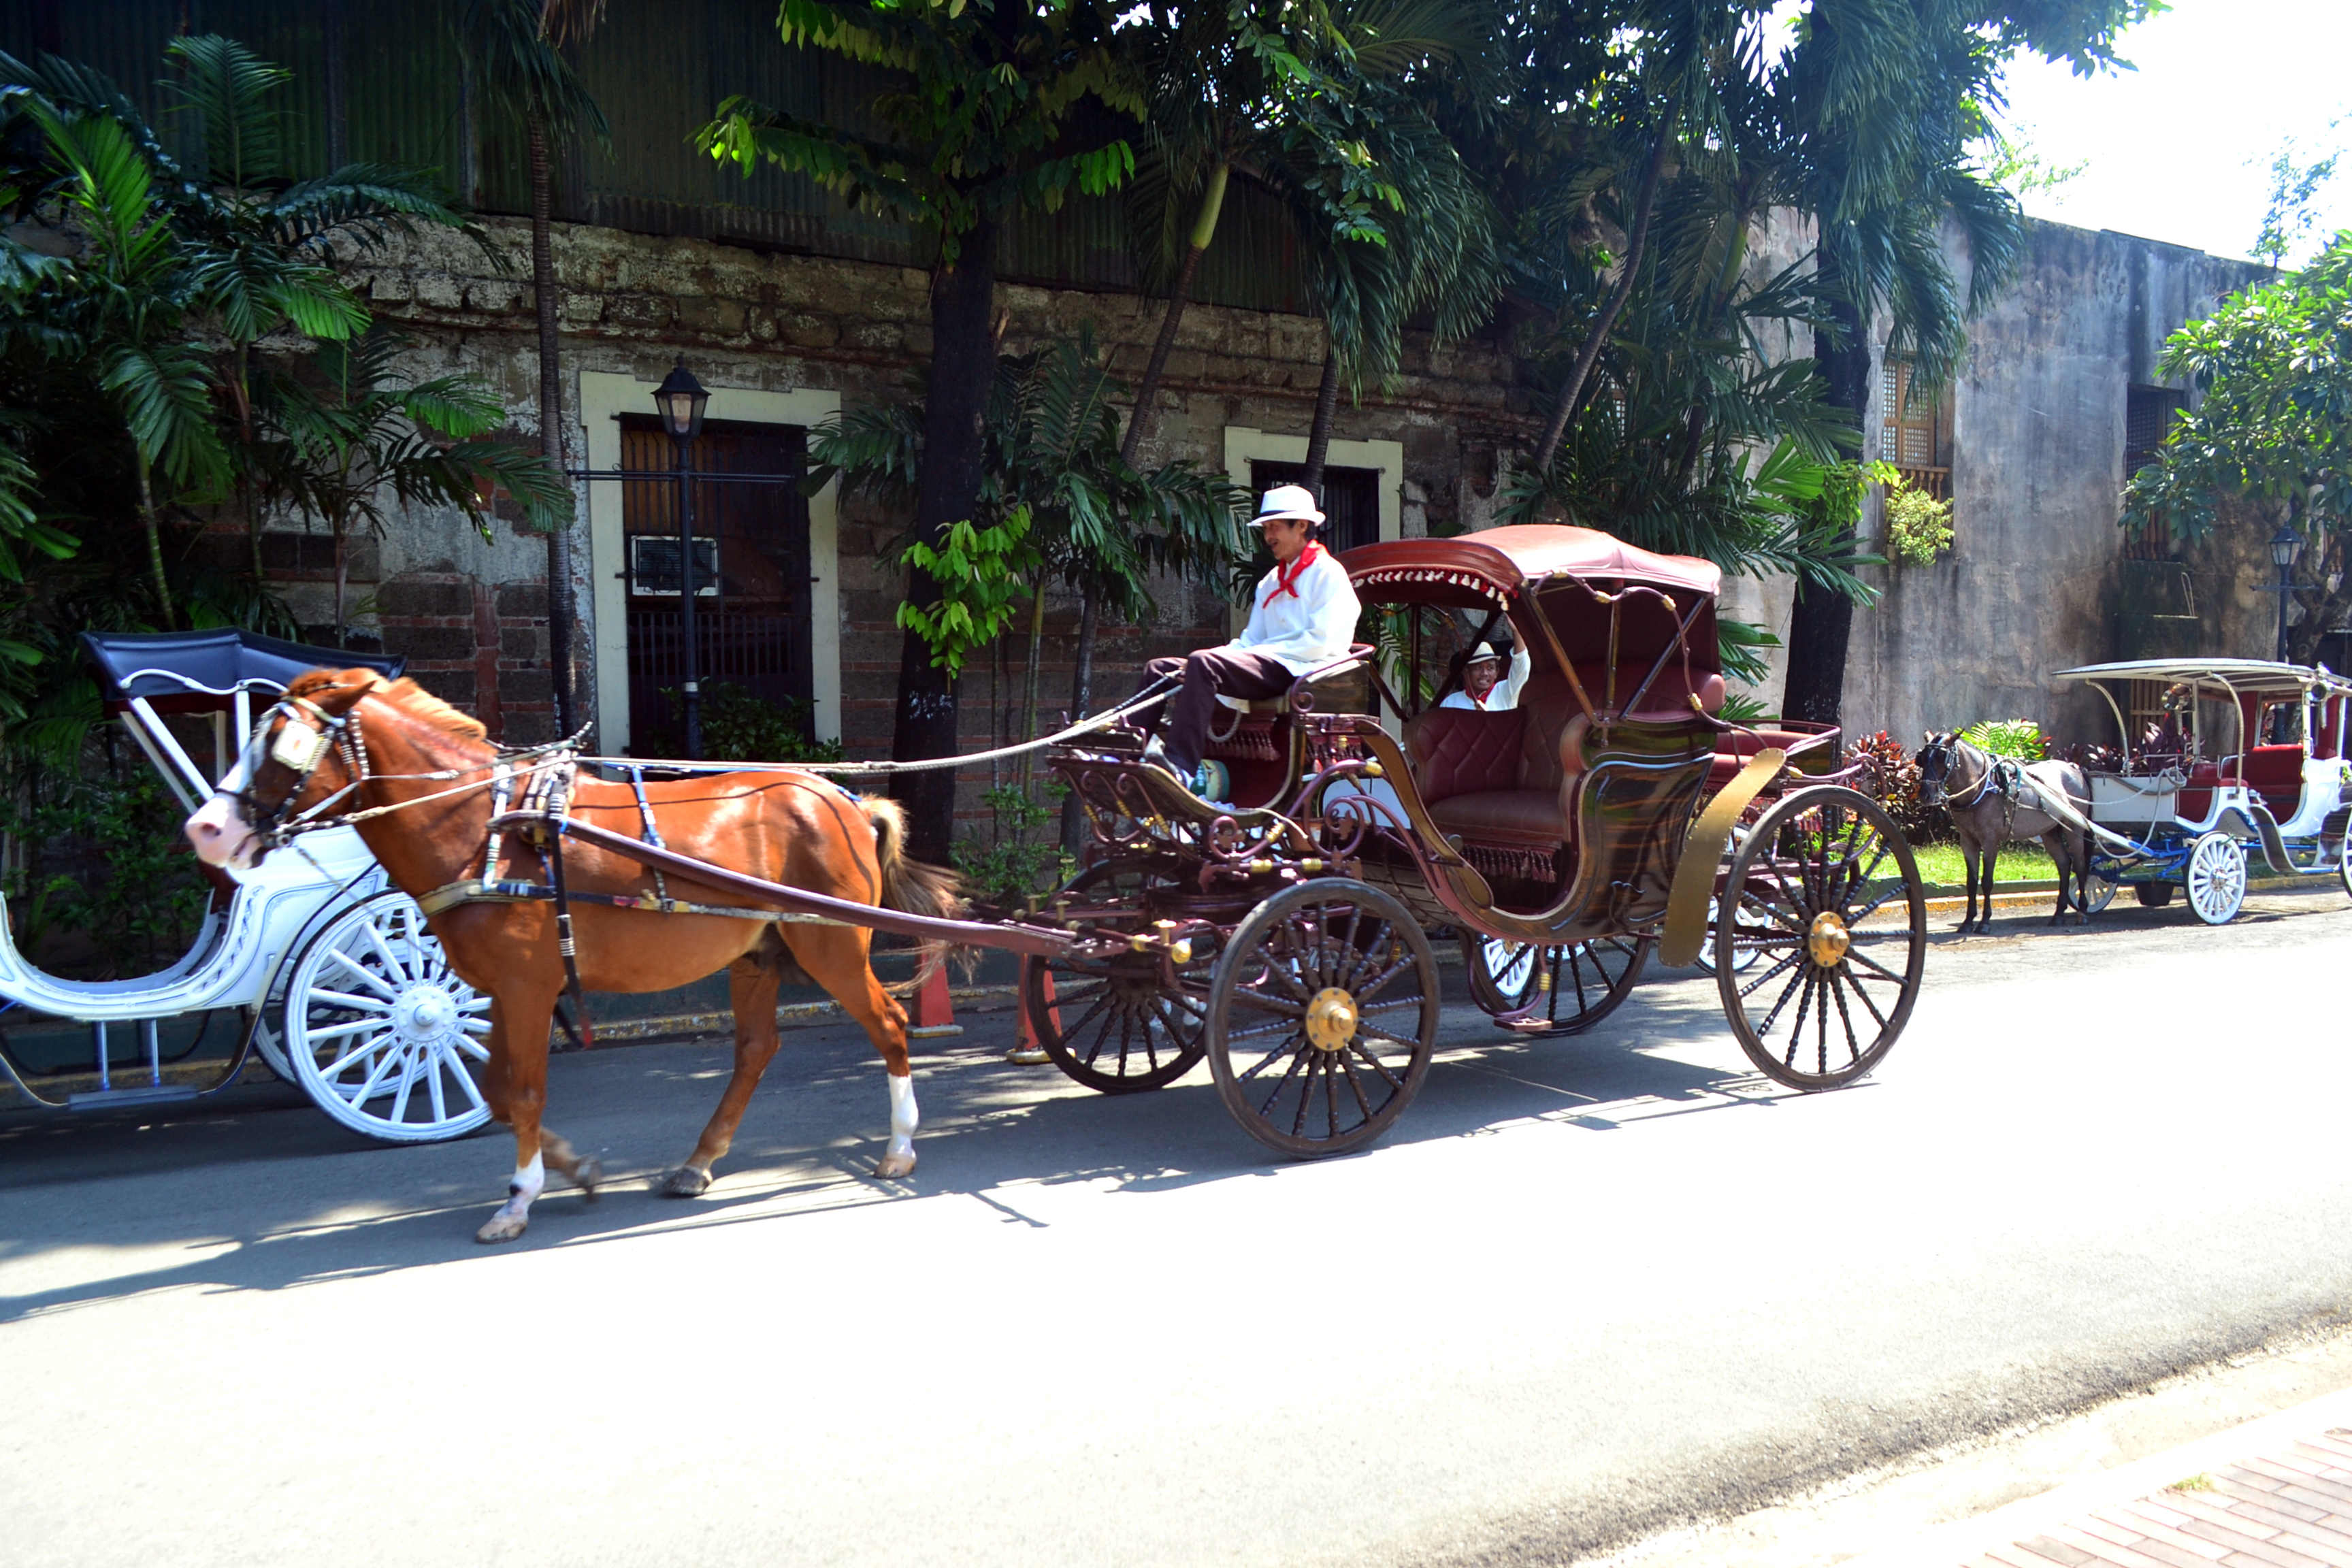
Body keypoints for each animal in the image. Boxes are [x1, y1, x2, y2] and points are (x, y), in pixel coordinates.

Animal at [183, 669, 961, 1244]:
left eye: (281, 745)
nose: (205, 829)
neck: (485, 826)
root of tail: (845, 799)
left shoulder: (528, 985)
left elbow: (523, 1091)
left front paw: (520, 1198)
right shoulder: (506, 988)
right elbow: (499, 1090)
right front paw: (570, 1168)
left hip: (831, 940)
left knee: (888, 1024)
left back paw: (899, 1145)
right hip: (759, 951)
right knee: (755, 1049)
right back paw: (700, 1160)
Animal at [1917, 731, 2093, 935]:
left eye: (1941, 757)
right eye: (1922, 758)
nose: (1926, 795)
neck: (1982, 787)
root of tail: (2075, 769)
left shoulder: (1990, 841)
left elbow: (1987, 881)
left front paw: (1985, 921)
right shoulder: (1968, 841)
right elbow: (1971, 882)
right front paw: (1968, 921)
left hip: (2074, 829)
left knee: (2080, 866)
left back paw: (2083, 911)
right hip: (2050, 832)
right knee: (2064, 864)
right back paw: (2058, 914)